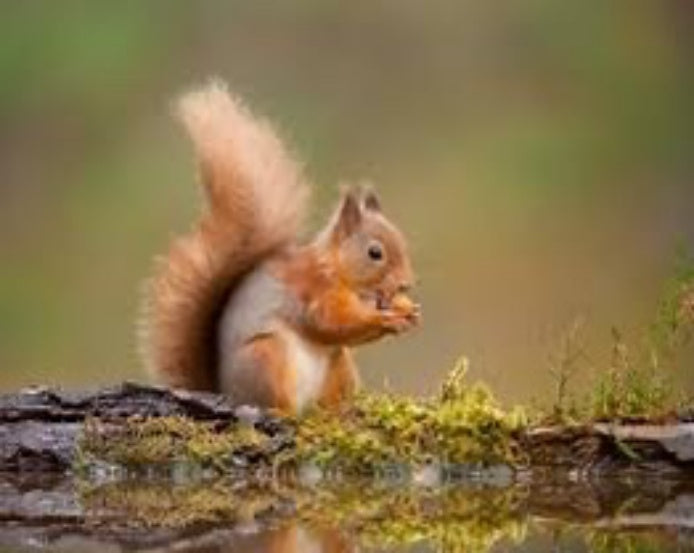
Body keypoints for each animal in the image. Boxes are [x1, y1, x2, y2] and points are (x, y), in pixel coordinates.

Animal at [139, 80, 420, 414]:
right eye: (375, 253)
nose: (406, 283)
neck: (337, 270)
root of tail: (227, 391)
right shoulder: (313, 291)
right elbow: (329, 323)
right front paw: (384, 319)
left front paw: (408, 312)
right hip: (266, 357)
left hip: (338, 364)